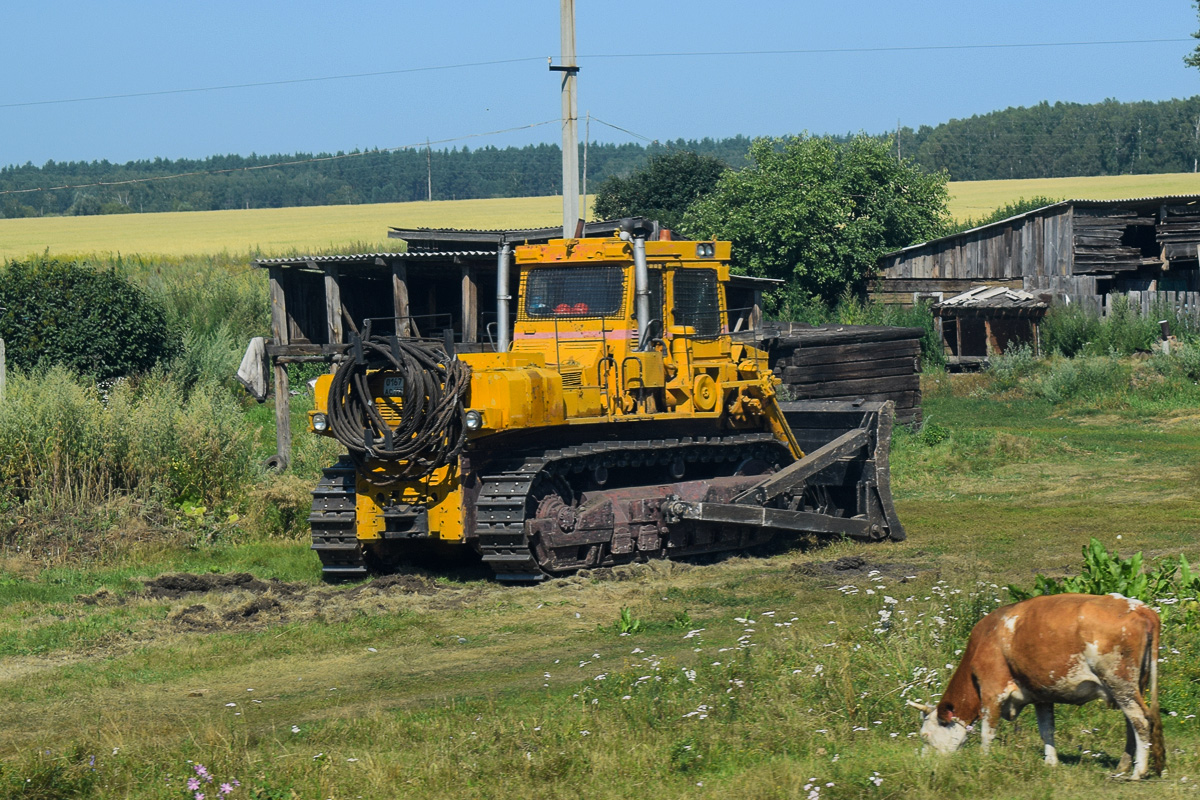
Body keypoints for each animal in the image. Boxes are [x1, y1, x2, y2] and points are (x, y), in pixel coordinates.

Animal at [907, 592, 1161, 777]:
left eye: (925, 736)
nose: (923, 765)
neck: (987, 638)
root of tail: (1140, 607)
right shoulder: (1041, 695)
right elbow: (1046, 729)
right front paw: (1051, 763)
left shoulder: (992, 690)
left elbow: (987, 731)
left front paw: (983, 760)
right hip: (1131, 686)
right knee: (1132, 723)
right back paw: (1123, 766)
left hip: (1119, 682)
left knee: (1140, 721)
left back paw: (1138, 772)